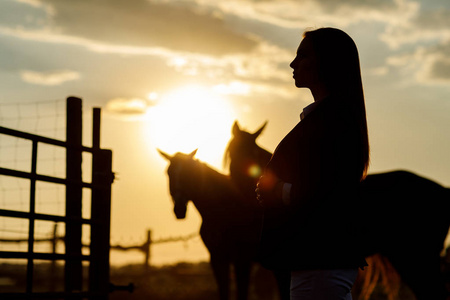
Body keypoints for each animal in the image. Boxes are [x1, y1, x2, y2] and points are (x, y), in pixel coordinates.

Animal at [157, 149, 260, 300]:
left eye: (188, 173)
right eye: (168, 172)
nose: (179, 209)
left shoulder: (242, 260)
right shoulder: (217, 258)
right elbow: (223, 291)